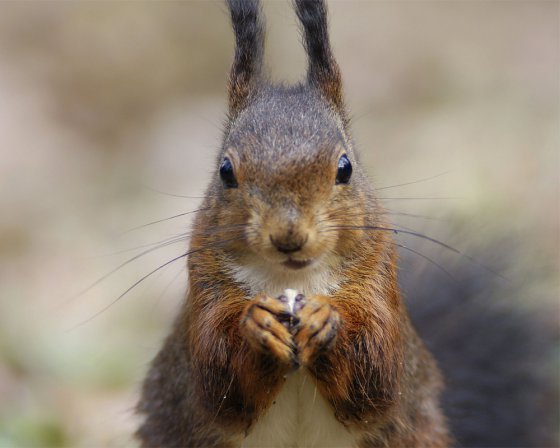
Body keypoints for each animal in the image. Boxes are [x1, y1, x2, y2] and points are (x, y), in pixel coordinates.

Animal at [135, 0, 556, 448]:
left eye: (345, 167)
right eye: (226, 171)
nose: (288, 237)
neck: (294, 281)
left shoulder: (379, 279)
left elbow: (377, 369)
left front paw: (326, 320)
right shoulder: (205, 285)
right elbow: (218, 376)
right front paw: (257, 322)